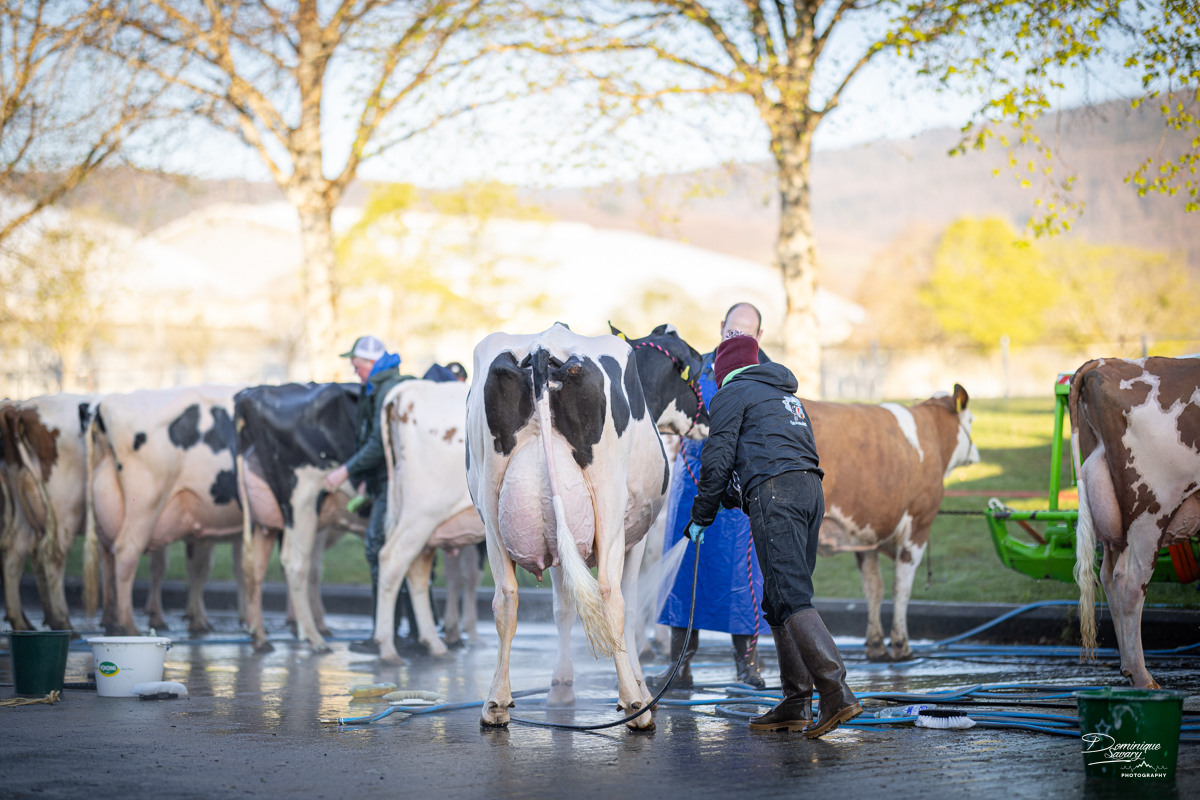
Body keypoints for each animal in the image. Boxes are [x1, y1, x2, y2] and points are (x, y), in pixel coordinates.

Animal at [87, 386, 244, 636]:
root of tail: (105, 405)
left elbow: (206, 568)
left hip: (105, 514)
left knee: (108, 559)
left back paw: (112, 622)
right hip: (144, 506)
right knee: (125, 553)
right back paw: (130, 626)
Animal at [466, 322, 708, 729]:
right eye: (700, 366)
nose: (707, 422)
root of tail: (542, 347)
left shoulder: (558, 547)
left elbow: (563, 609)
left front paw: (561, 688)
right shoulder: (634, 537)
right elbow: (631, 607)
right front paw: (642, 688)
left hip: (491, 503)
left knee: (507, 597)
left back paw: (496, 703)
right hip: (608, 502)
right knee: (611, 593)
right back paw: (635, 707)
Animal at [809, 385, 980, 661]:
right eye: (972, 420)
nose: (976, 453)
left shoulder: (865, 533)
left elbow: (873, 588)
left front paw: (876, 645)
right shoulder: (918, 526)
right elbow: (901, 587)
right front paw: (901, 645)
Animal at [1070, 357, 1200, 689]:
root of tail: (1101, 363)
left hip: (1114, 522)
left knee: (1107, 575)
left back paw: (1129, 669)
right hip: (1151, 508)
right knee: (1129, 580)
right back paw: (1143, 679)